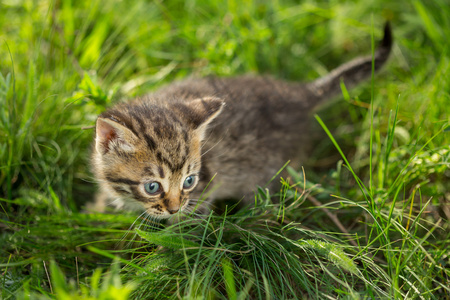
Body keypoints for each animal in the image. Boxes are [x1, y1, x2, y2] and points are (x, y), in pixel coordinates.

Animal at [90, 22, 390, 218]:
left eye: (189, 181)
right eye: (152, 187)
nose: (174, 209)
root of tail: (298, 94)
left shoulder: (204, 191)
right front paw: (95, 213)